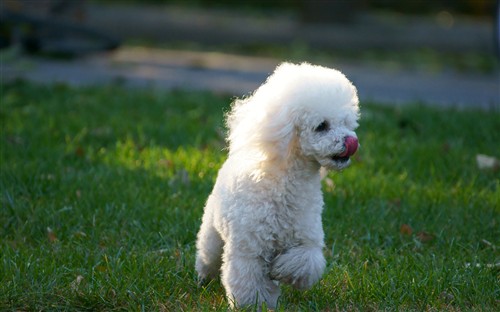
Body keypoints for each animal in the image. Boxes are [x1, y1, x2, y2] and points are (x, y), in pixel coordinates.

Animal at [195, 62, 360, 308]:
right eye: (322, 126)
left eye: (347, 123)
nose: (352, 142)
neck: (285, 186)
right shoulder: (249, 248)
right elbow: (248, 281)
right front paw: (252, 305)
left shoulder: (307, 239)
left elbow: (306, 262)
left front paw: (279, 271)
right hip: (213, 231)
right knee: (208, 255)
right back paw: (203, 277)